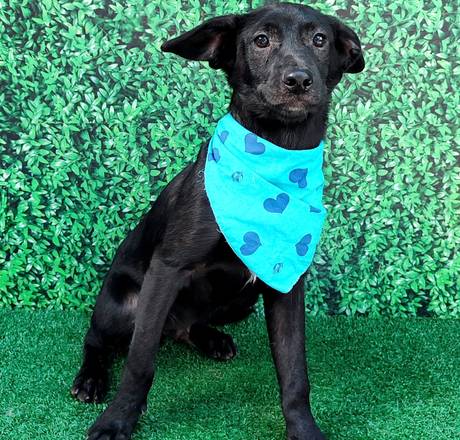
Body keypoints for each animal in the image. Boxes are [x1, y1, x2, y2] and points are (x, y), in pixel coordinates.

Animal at [71, 3, 364, 439]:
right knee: (98, 338)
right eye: (261, 40)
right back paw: (90, 379)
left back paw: (212, 340)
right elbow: (139, 361)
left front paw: (304, 428)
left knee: (187, 327)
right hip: (122, 303)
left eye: (319, 40)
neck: (277, 151)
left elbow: (295, 369)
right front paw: (117, 420)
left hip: (240, 300)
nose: (298, 80)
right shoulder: (167, 269)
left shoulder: (287, 282)